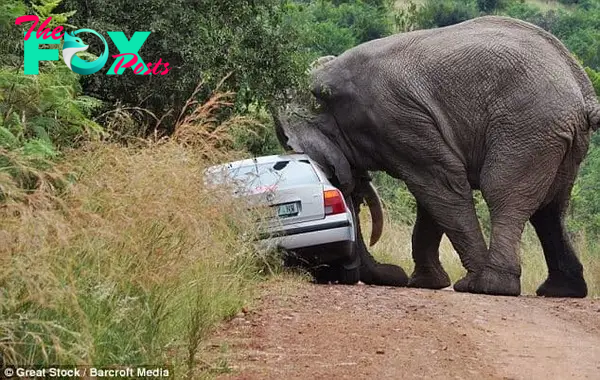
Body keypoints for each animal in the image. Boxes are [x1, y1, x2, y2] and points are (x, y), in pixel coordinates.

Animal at [274, 16, 600, 296]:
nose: (392, 274)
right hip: (556, 136)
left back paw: (486, 286)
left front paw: (456, 282)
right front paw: (426, 283)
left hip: (527, 125)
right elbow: (432, 194)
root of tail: (583, 93)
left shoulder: (396, 116)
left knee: (502, 192)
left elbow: (439, 185)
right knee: (551, 209)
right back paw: (560, 291)